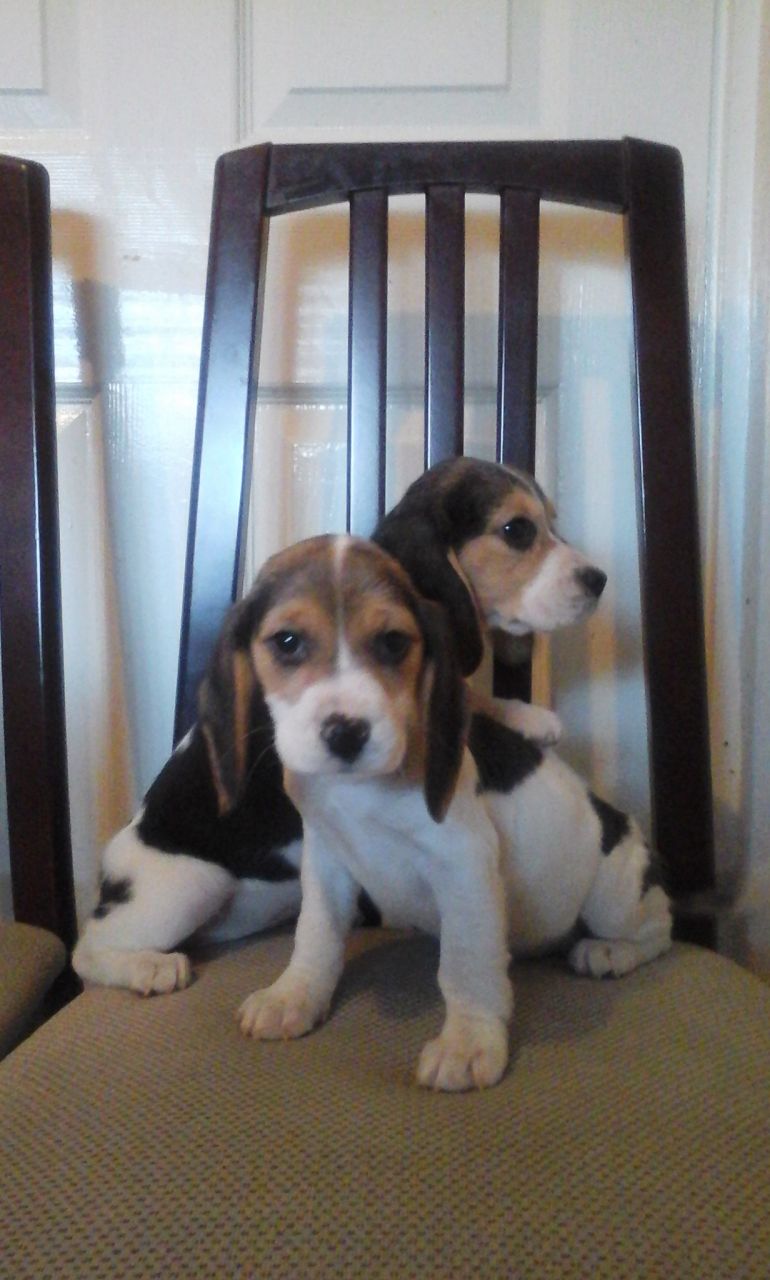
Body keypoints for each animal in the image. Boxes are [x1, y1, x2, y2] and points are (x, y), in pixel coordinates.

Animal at [225, 535, 511, 1095]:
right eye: (287, 642)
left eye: (394, 642)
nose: (346, 733)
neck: (357, 789)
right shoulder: (325, 859)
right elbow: (315, 932)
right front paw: (294, 994)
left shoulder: (464, 863)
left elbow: (466, 959)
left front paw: (468, 1039)